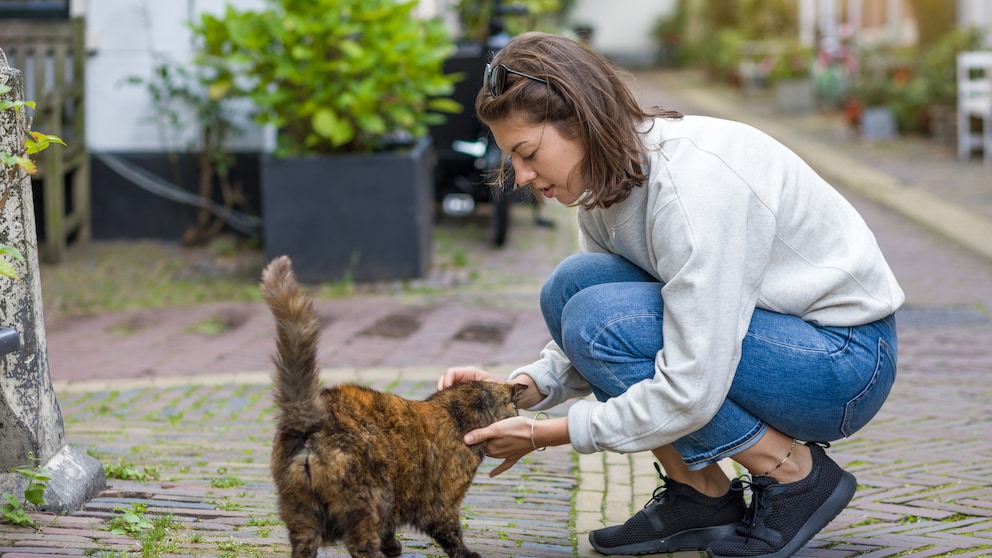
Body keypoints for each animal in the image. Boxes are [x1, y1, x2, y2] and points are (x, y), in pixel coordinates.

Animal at [262, 258, 528, 558]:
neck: (458, 416)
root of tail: (312, 421)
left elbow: (391, 529)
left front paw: (393, 546)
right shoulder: (442, 504)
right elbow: (452, 534)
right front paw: (467, 554)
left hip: (300, 512)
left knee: (305, 546)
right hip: (368, 501)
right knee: (362, 546)